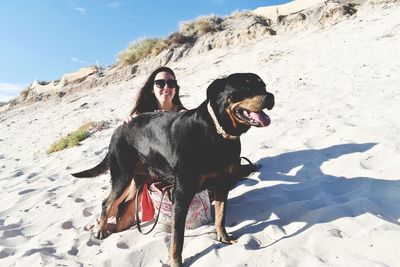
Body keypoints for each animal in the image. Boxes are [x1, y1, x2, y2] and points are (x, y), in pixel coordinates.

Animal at [72, 73, 274, 267]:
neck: (217, 133)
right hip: (122, 176)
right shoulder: (182, 193)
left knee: (125, 203)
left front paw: (223, 237)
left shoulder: (222, 183)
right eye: (245, 87)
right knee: (108, 202)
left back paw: (119, 227)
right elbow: (177, 237)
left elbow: (220, 215)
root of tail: (117, 131)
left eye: (263, 85)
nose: (270, 96)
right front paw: (175, 262)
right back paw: (100, 229)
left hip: (139, 179)